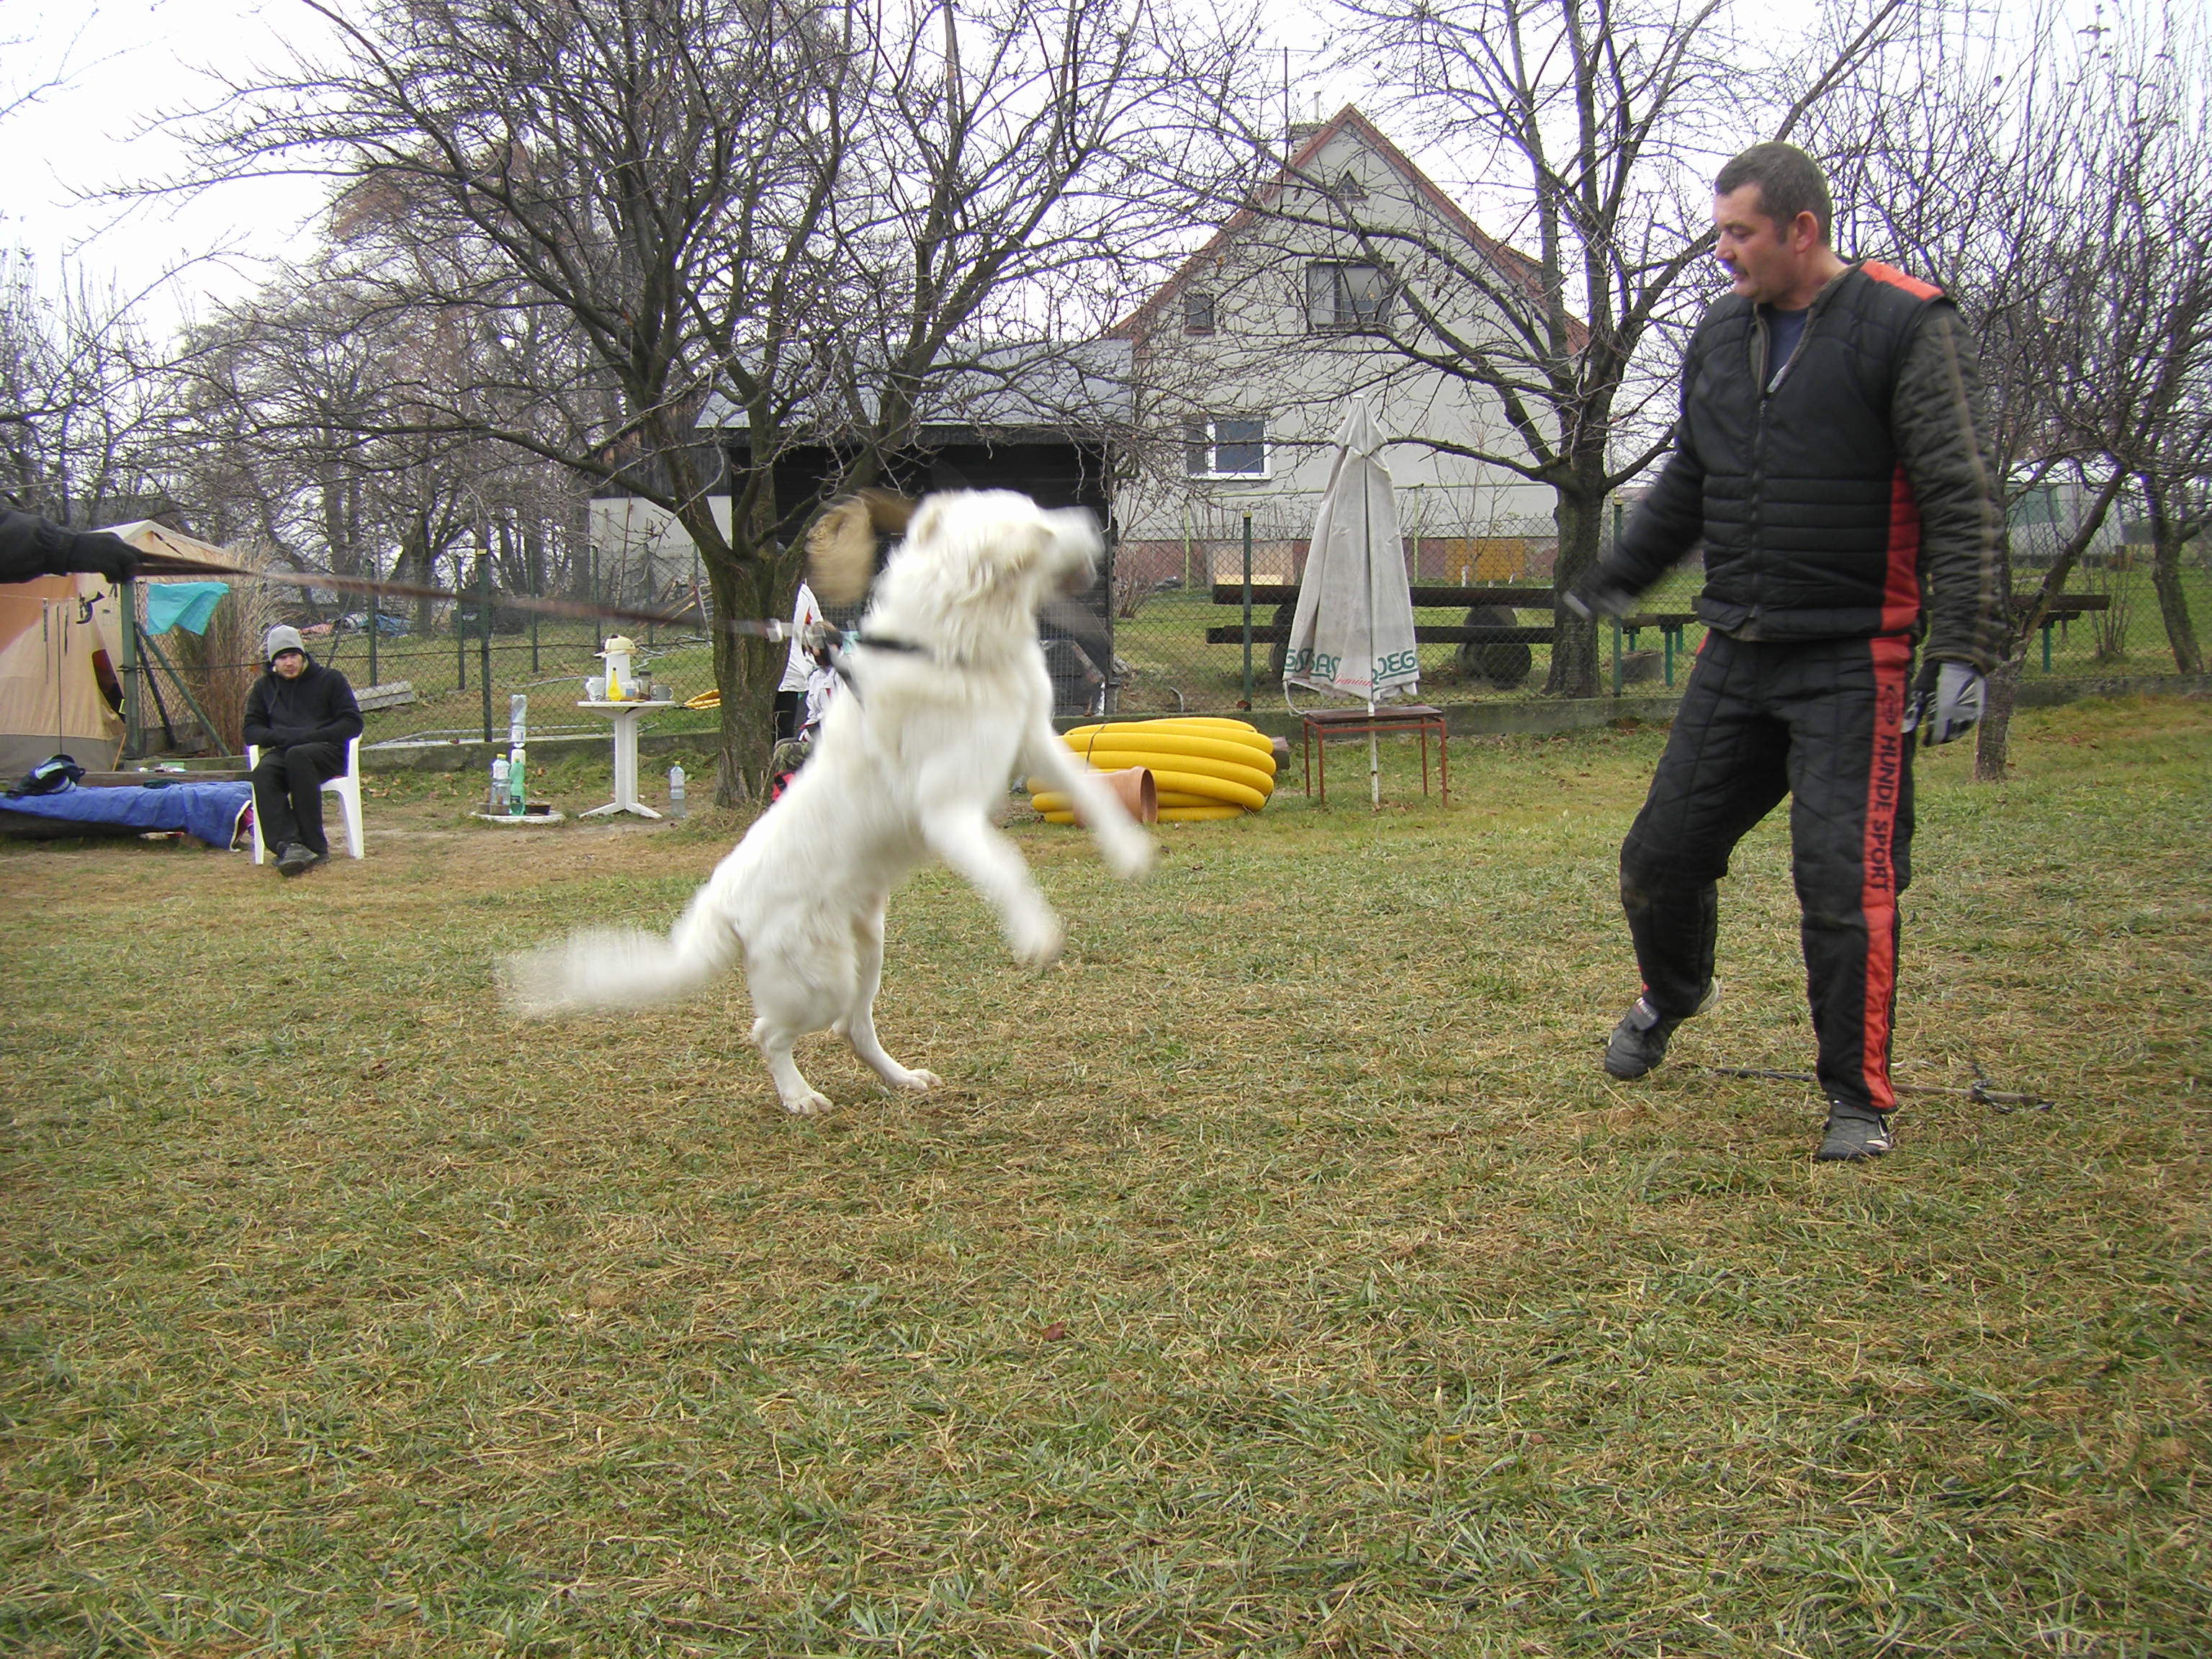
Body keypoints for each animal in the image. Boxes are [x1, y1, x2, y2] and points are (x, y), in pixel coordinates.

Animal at [506, 493, 1159, 1119]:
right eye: (1040, 525)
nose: (1093, 522)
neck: (951, 645)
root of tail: (720, 903)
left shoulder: (1033, 742)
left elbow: (1091, 790)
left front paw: (1129, 848)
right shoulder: (947, 810)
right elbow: (1007, 866)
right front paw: (1035, 932)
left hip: (866, 952)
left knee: (852, 1028)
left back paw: (901, 1080)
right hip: (817, 981)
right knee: (768, 1033)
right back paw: (799, 1096)